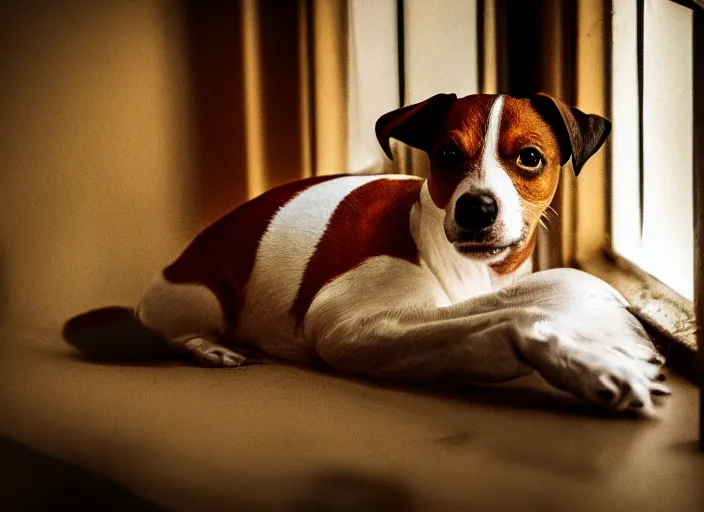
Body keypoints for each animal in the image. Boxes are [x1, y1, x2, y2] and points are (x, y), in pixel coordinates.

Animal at [64, 94, 672, 416]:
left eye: (529, 158)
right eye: (446, 154)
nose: (476, 208)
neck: (457, 266)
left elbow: (542, 295)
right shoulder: (348, 327)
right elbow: (511, 319)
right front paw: (594, 365)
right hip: (203, 295)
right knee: (177, 331)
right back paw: (210, 348)